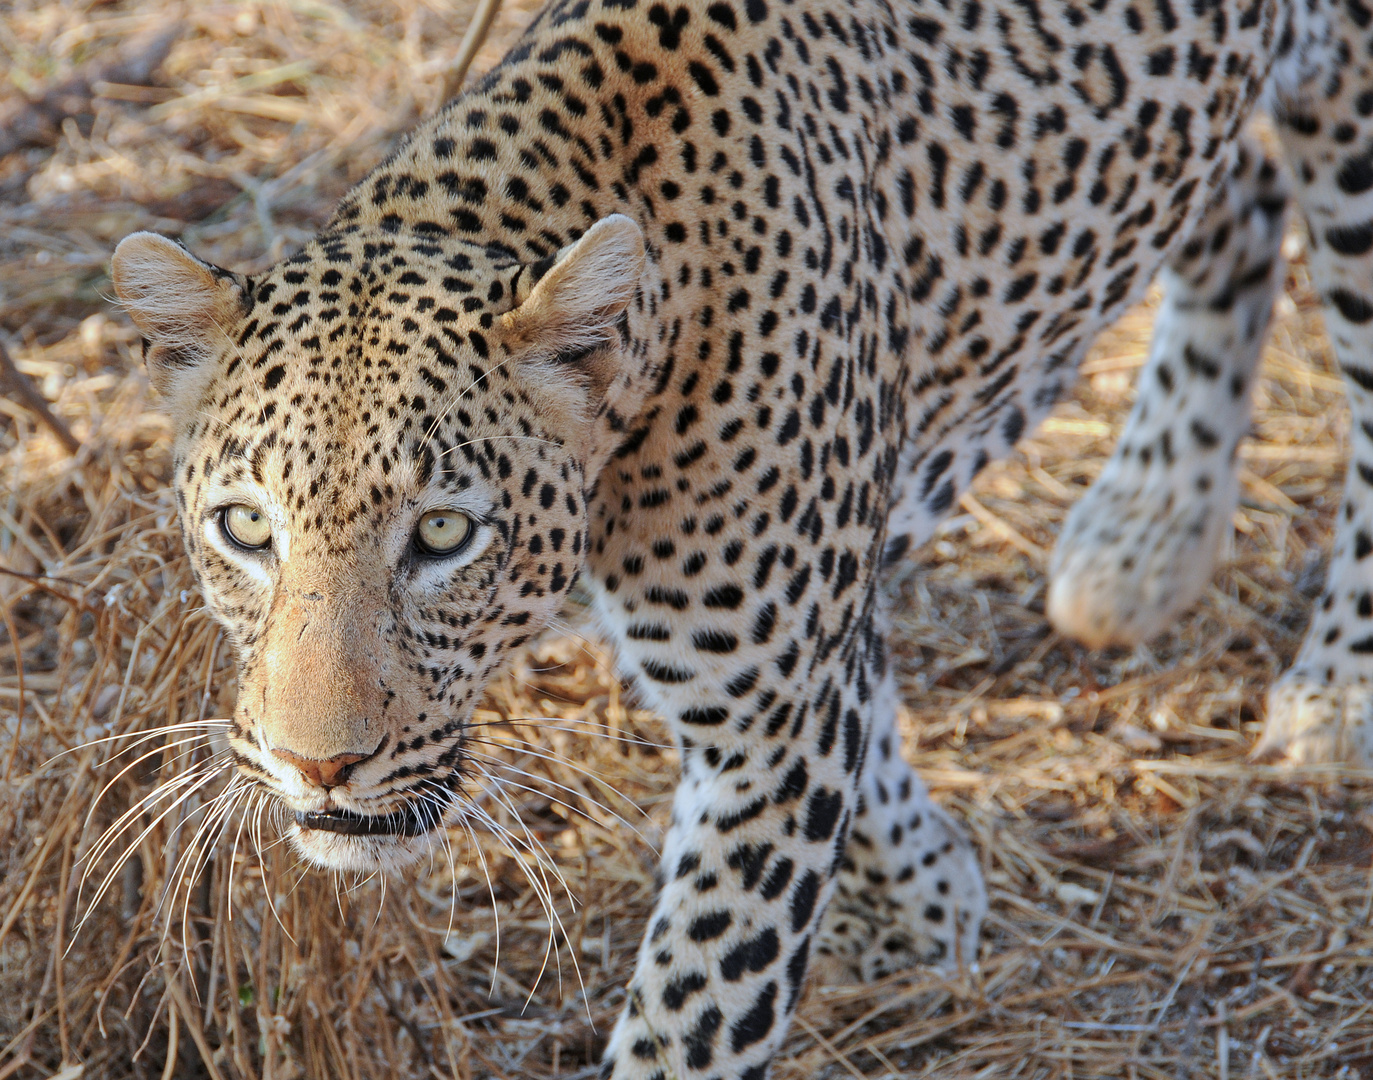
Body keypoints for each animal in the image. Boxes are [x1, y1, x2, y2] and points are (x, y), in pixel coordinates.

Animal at [109, 0, 1373, 1070]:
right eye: (244, 529)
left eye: (442, 534)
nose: (317, 764)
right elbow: (864, 695)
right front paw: (920, 898)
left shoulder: (769, 723)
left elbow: (697, 1012)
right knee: (1231, 189)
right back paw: (1148, 529)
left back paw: (1333, 688)